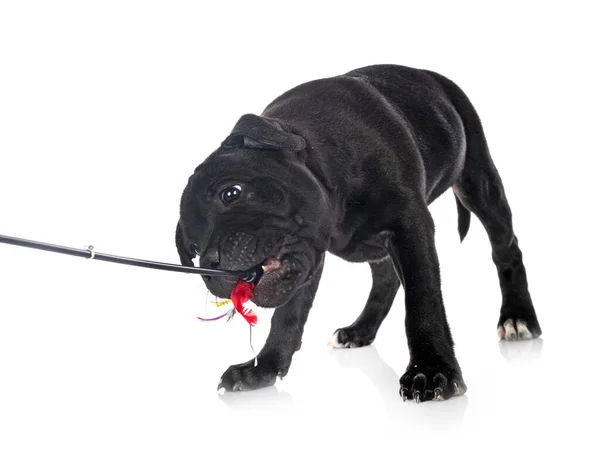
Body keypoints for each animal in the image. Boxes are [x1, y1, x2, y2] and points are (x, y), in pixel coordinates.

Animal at [176, 63, 540, 400]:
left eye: (231, 193)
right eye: (192, 249)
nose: (211, 262)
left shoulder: (412, 226)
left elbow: (423, 300)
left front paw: (431, 370)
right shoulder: (312, 258)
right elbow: (288, 315)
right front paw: (262, 368)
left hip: (478, 185)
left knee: (506, 248)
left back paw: (517, 318)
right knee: (386, 277)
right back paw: (360, 330)